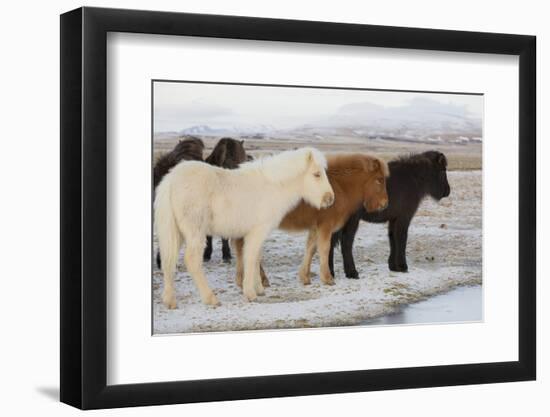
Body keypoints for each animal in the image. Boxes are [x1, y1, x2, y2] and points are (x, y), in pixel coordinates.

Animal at [155, 145, 336, 306]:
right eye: (317, 174)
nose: (330, 199)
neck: (272, 187)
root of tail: (170, 180)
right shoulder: (257, 232)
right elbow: (250, 258)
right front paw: (250, 293)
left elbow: (256, 258)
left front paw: (259, 289)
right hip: (195, 232)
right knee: (192, 261)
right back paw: (211, 299)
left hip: (176, 232)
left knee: (168, 260)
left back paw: (170, 301)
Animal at [235, 152, 390, 286]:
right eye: (379, 180)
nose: (385, 204)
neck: (339, 186)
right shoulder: (326, 226)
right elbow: (324, 249)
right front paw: (328, 278)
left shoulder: (316, 227)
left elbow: (311, 249)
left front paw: (305, 277)